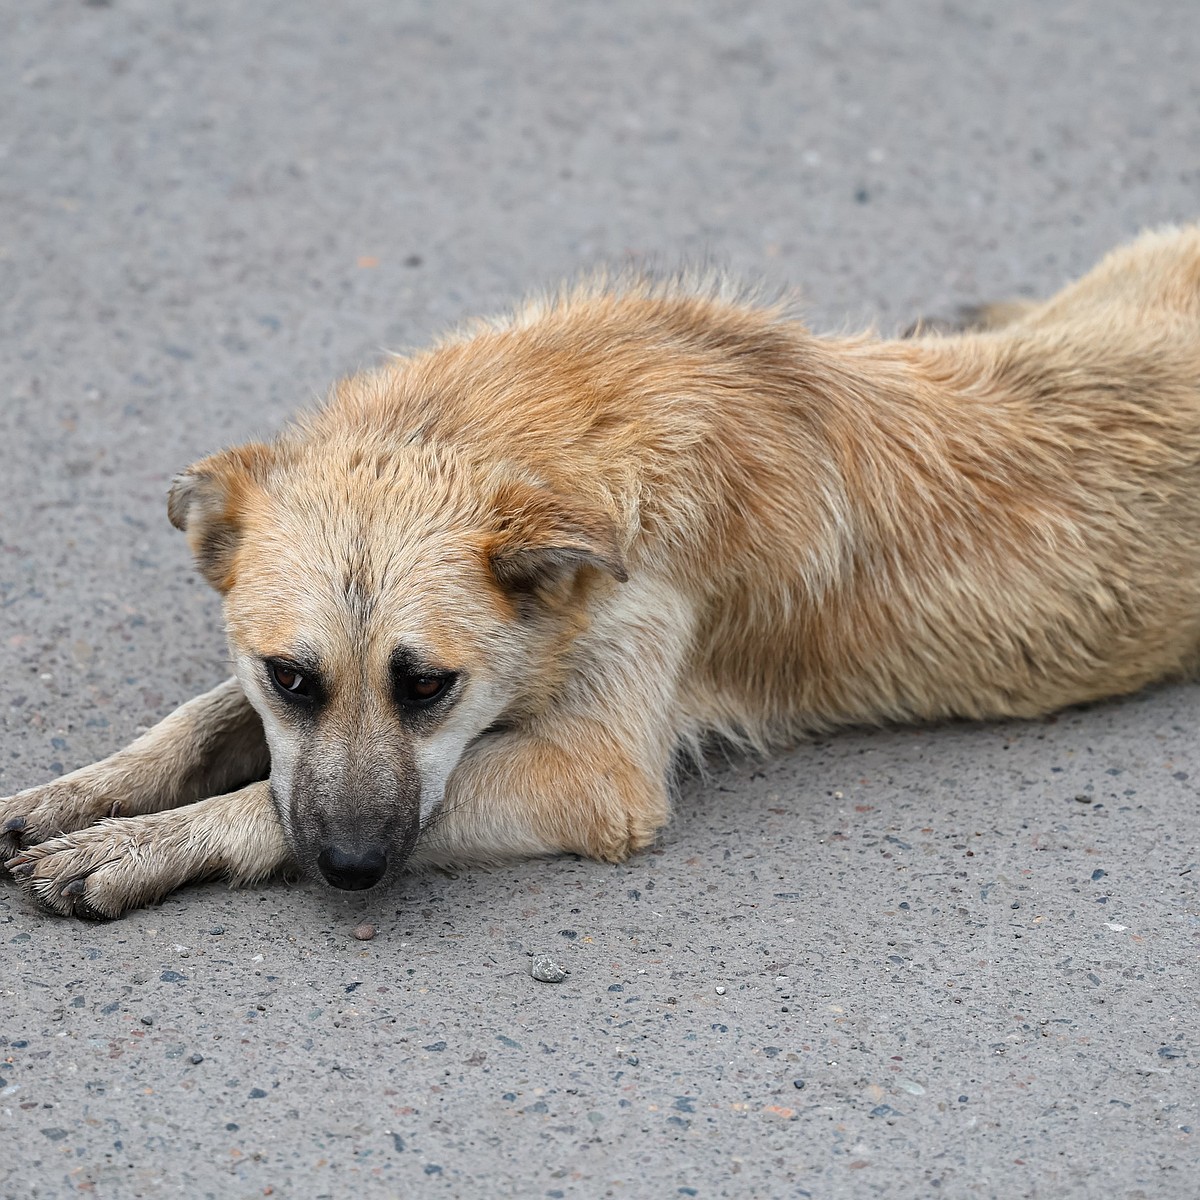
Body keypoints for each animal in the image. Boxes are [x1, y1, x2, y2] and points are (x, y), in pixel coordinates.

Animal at [2, 226, 1200, 916]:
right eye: (292, 680)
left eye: (428, 687)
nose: (348, 871)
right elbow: (196, 727)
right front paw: (90, 796)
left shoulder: (595, 777)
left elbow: (261, 794)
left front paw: (157, 842)